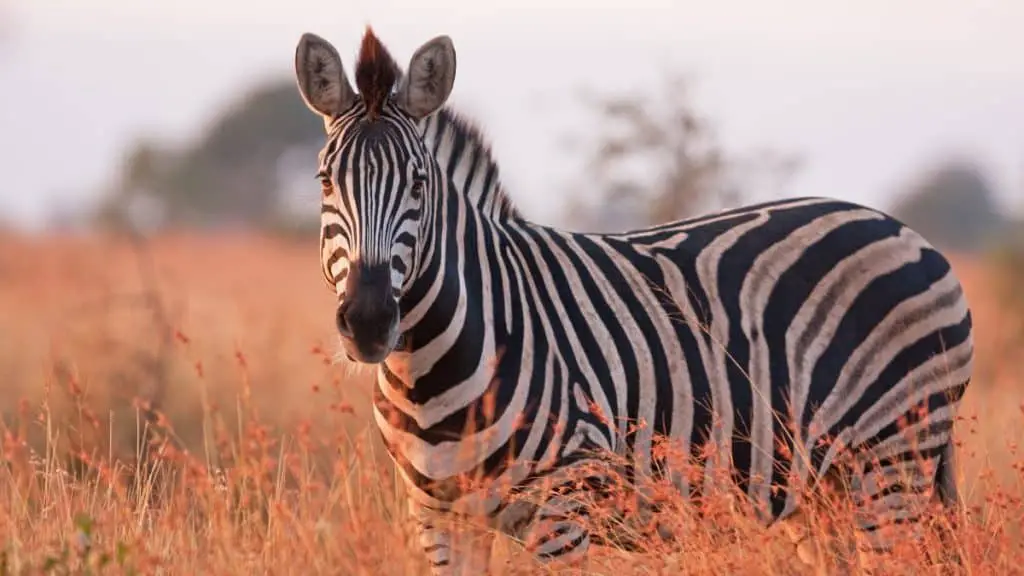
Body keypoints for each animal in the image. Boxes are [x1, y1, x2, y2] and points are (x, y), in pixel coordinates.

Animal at [294, 28, 974, 573]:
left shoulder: (564, 509)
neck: (432, 370)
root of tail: (908, 233)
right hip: (822, 489)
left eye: (419, 184)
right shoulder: (439, 517)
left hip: (891, 461)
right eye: (326, 181)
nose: (369, 322)